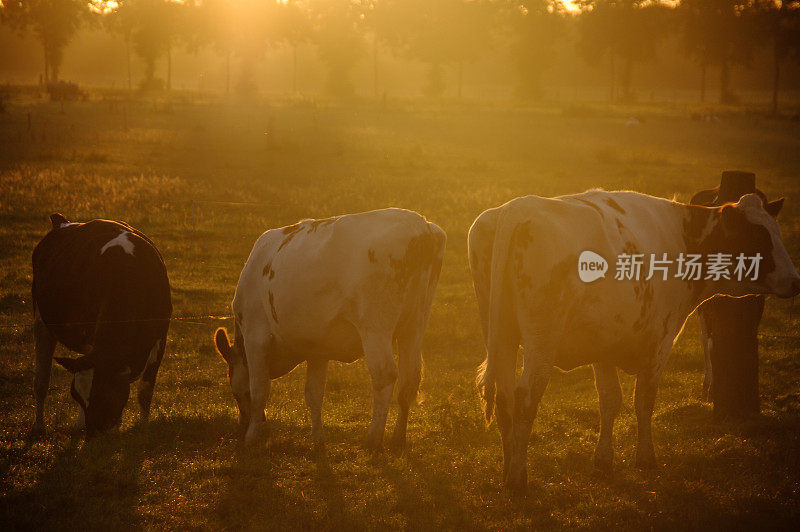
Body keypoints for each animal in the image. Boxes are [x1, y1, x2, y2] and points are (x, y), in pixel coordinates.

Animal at [31, 214, 172, 438]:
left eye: (105, 395)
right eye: (75, 396)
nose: (92, 436)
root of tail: (62, 222)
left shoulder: (160, 335)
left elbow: (145, 390)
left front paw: (141, 427)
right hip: (41, 320)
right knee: (41, 379)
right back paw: (40, 426)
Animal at [216, 208, 446, 448]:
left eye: (236, 394)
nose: (242, 423)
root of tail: (420, 225)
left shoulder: (255, 336)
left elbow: (259, 390)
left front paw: (251, 437)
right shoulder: (317, 350)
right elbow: (314, 395)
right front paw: (318, 439)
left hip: (375, 327)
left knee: (385, 374)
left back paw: (373, 439)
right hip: (415, 325)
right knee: (410, 377)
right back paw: (398, 439)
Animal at [468, 190, 800, 490]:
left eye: (776, 231)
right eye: (757, 236)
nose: (795, 280)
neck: (683, 237)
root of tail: (519, 206)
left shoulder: (603, 343)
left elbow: (610, 401)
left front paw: (603, 460)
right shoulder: (660, 341)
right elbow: (644, 401)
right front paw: (645, 458)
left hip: (500, 334)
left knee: (505, 397)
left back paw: (507, 470)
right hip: (541, 340)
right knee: (524, 397)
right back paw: (517, 478)